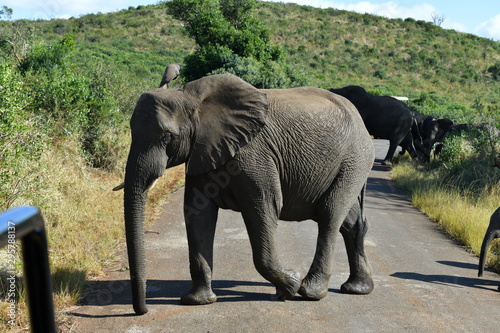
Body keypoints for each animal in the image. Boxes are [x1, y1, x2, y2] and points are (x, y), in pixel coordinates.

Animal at [118, 73, 376, 314]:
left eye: (166, 137)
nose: (143, 310)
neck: (191, 99)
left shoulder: (254, 156)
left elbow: (262, 207)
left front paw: (289, 286)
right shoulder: (202, 152)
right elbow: (198, 214)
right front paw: (197, 301)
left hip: (355, 159)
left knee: (330, 215)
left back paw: (311, 292)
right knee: (350, 223)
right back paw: (357, 289)